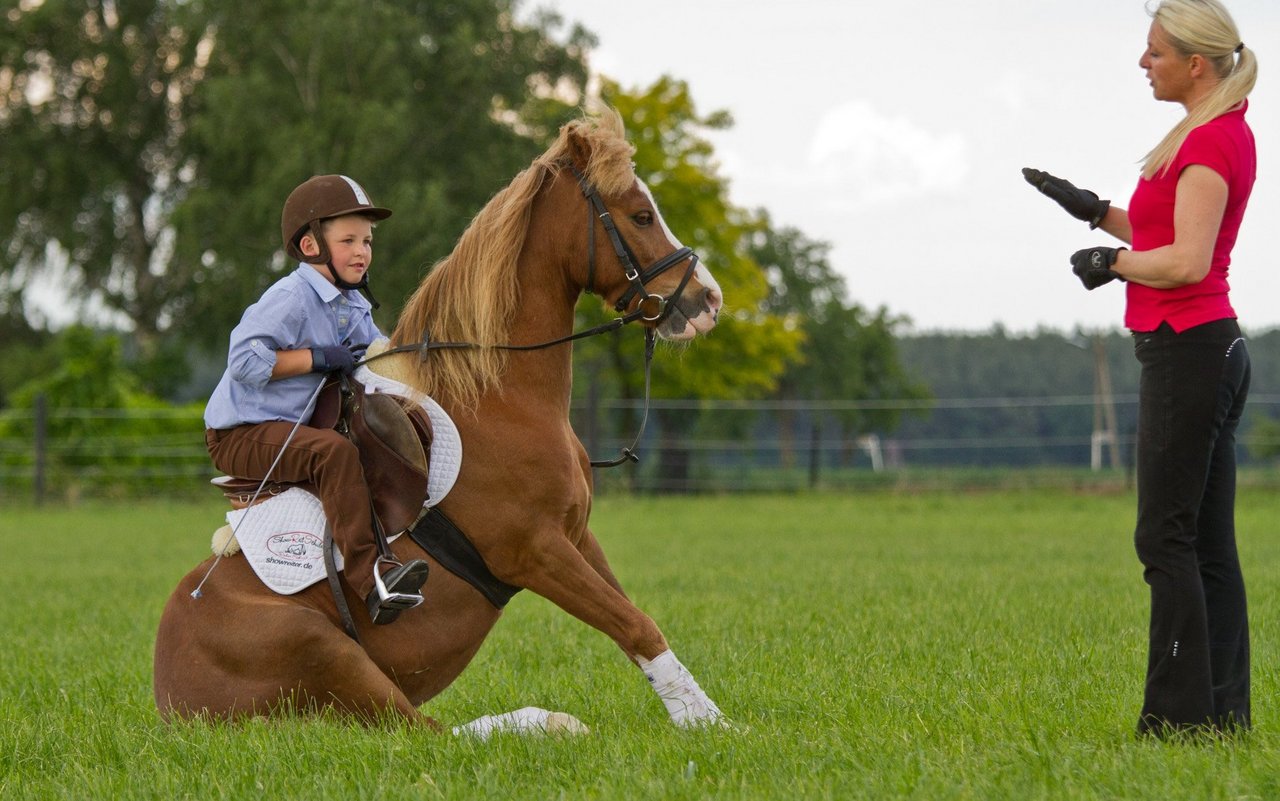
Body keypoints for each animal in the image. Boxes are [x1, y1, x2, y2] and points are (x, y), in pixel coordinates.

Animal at [154, 110, 727, 731]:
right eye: (641, 214)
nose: (708, 301)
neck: (501, 400)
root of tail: (169, 700)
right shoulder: (537, 552)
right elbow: (635, 624)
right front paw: (710, 726)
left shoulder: (577, 537)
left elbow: (635, 624)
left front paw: (705, 715)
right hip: (324, 650)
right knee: (424, 732)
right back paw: (546, 723)